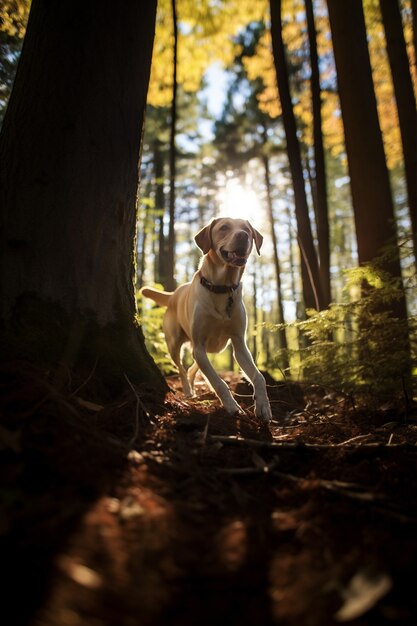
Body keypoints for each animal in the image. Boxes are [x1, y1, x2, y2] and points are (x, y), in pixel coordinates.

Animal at [142, 217, 272, 422]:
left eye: (247, 229)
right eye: (224, 227)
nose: (243, 236)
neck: (222, 288)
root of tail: (173, 294)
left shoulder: (238, 344)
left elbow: (259, 377)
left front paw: (263, 406)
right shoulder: (199, 343)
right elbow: (218, 382)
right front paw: (232, 406)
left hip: (208, 348)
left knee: (193, 367)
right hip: (175, 344)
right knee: (181, 368)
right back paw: (188, 391)